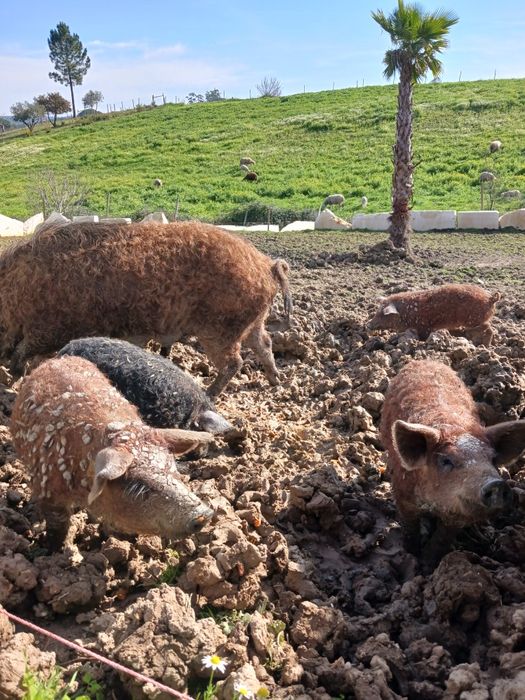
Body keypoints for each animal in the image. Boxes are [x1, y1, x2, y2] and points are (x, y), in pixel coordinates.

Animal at [0, 219, 293, 395]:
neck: (16, 289)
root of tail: (267, 265)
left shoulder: (49, 329)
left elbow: (23, 350)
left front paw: (14, 378)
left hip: (221, 328)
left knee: (235, 361)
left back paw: (209, 393)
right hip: (253, 321)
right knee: (264, 345)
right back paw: (276, 381)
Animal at [11, 355, 214, 549]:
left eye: (173, 469)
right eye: (140, 485)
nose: (205, 514)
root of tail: (57, 359)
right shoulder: (47, 488)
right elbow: (58, 525)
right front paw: (56, 549)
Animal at [367, 283, 500, 344]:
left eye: (383, 314)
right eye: (377, 311)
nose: (368, 324)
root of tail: (491, 298)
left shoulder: (424, 327)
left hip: (474, 319)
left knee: (489, 329)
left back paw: (482, 344)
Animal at [380, 359, 525, 560]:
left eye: (493, 459)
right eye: (446, 461)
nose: (496, 483)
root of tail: (426, 360)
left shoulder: (458, 517)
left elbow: (441, 541)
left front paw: (430, 562)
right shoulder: (403, 496)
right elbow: (410, 528)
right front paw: (411, 554)